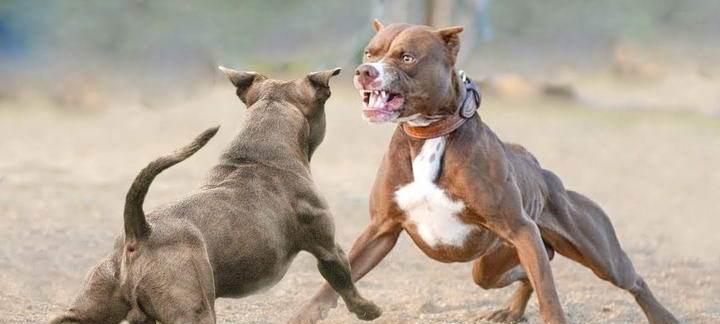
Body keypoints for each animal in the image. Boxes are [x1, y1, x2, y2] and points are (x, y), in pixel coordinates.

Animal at [48, 69, 382, 324]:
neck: (259, 153)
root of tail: (140, 231)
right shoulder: (327, 248)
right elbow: (344, 281)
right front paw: (368, 309)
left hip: (86, 310)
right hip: (193, 311)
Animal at [288, 20, 680, 324]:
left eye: (406, 57)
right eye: (370, 54)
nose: (364, 72)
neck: (428, 133)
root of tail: (543, 174)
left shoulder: (519, 228)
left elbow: (549, 293)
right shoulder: (380, 230)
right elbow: (334, 283)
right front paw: (305, 314)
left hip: (595, 254)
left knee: (630, 280)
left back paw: (662, 315)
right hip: (492, 265)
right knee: (530, 270)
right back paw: (509, 310)